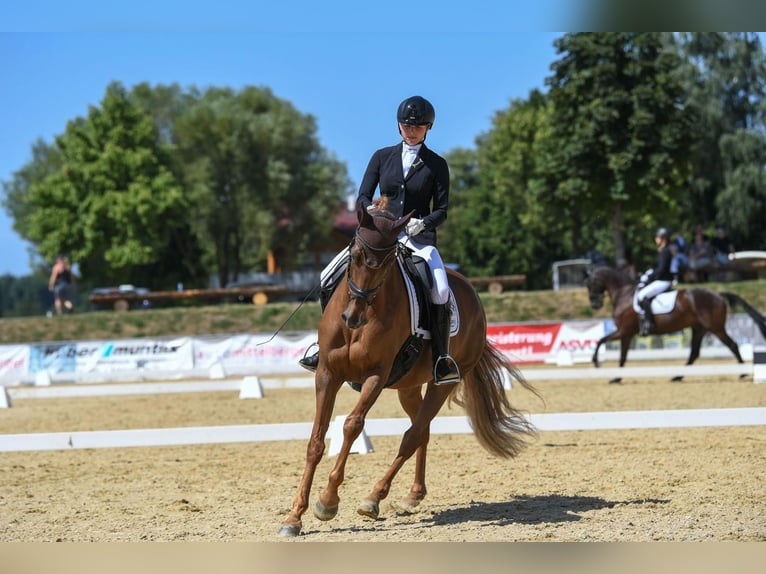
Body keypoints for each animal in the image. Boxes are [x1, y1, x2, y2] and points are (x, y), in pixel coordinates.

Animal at [278, 199, 540, 540]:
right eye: (356, 255)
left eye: (388, 262)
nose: (354, 317)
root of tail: (472, 292)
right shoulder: (327, 374)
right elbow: (316, 440)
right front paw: (294, 517)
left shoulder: (376, 375)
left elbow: (352, 426)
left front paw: (328, 501)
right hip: (409, 386)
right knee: (422, 431)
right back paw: (412, 496)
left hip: (441, 383)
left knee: (413, 434)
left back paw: (373, 499)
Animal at [584, 268, 766, 384]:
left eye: (591, 284)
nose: (595, 304)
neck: (624, 294)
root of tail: (717, 294)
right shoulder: (626, 334)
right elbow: (621, 355)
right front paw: (617, 377)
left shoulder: (624, 331)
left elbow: (602, 342)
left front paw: (599, 365)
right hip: (699, 329)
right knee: (694, 353)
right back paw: (678, 376)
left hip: (715, 328)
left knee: (732, 345)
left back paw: (742, 373)